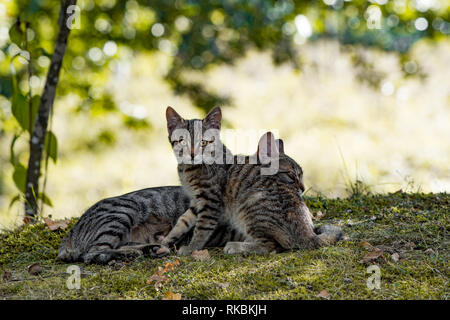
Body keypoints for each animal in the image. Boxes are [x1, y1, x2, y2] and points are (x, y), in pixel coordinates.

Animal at [163, 106, 342, 256]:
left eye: (204, 142)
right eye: (182, 141)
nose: (193, 154)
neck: (188, 170)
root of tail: (308, 234)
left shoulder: (210, 202)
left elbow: (202, 229)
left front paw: (192, 248)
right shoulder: (196, 202)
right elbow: (183, 221)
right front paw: (167, 240)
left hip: (249, 209)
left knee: (272, 247)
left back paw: (236, 246)